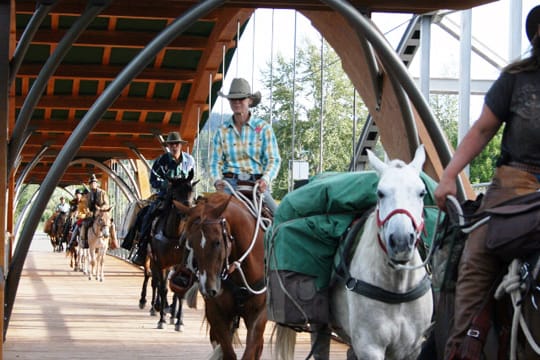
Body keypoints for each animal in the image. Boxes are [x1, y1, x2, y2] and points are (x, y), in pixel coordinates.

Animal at [177, 193, 268, 358]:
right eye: (190, 243)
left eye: (217, 242)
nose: (209, 289)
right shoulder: (215, 313)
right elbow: (228, 352)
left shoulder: (259, 314)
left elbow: (250, 351)